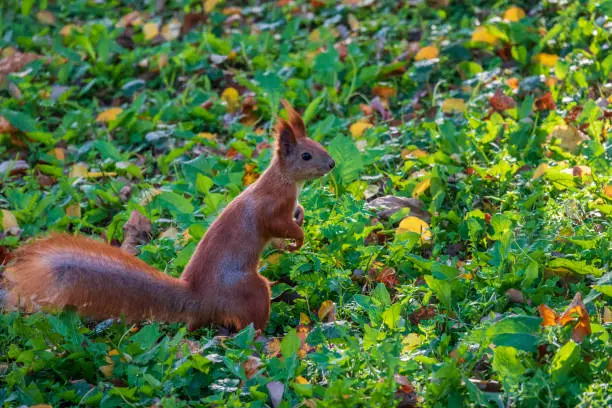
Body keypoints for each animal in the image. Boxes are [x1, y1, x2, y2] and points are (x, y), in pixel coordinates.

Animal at [3, 101, 334, 332]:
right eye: (306, 156)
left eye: (320, 145)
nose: (331, 164)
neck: (282, 181)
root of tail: (200, 300)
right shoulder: (270, 208)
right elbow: (278, 225)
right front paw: (298, 238)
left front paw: (300, 218)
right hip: (250, 290)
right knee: (250, 324)